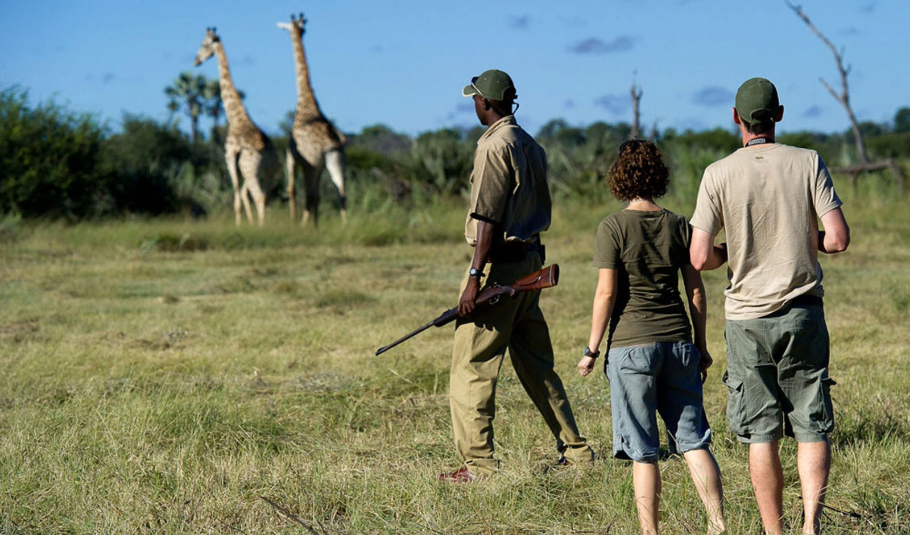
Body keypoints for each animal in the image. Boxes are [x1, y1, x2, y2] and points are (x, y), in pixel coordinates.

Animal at [192, 27, 278, 226]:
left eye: (204, 44)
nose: (196, 61)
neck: (236, 117)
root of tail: (267, 153)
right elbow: (243, 194)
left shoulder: (229, 156)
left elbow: (236, 193)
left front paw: (238, 225)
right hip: (270, 172)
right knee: (264, 196)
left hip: (250, 169)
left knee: (259, 196)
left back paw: (262, 227)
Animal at [276, 12, 348, 226]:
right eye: (302, 28)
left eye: (287, 28)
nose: (300, 32)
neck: (306, 103)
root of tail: (331, 142)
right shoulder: (320, 167)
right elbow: (319, 197)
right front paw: (316, 226)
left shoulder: (291, 156)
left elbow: (291, 189)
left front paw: (295, 222)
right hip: (335, 161)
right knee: (341, 193)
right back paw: (345, 226)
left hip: (312, 165)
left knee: (310, 195)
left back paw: (302, 227)